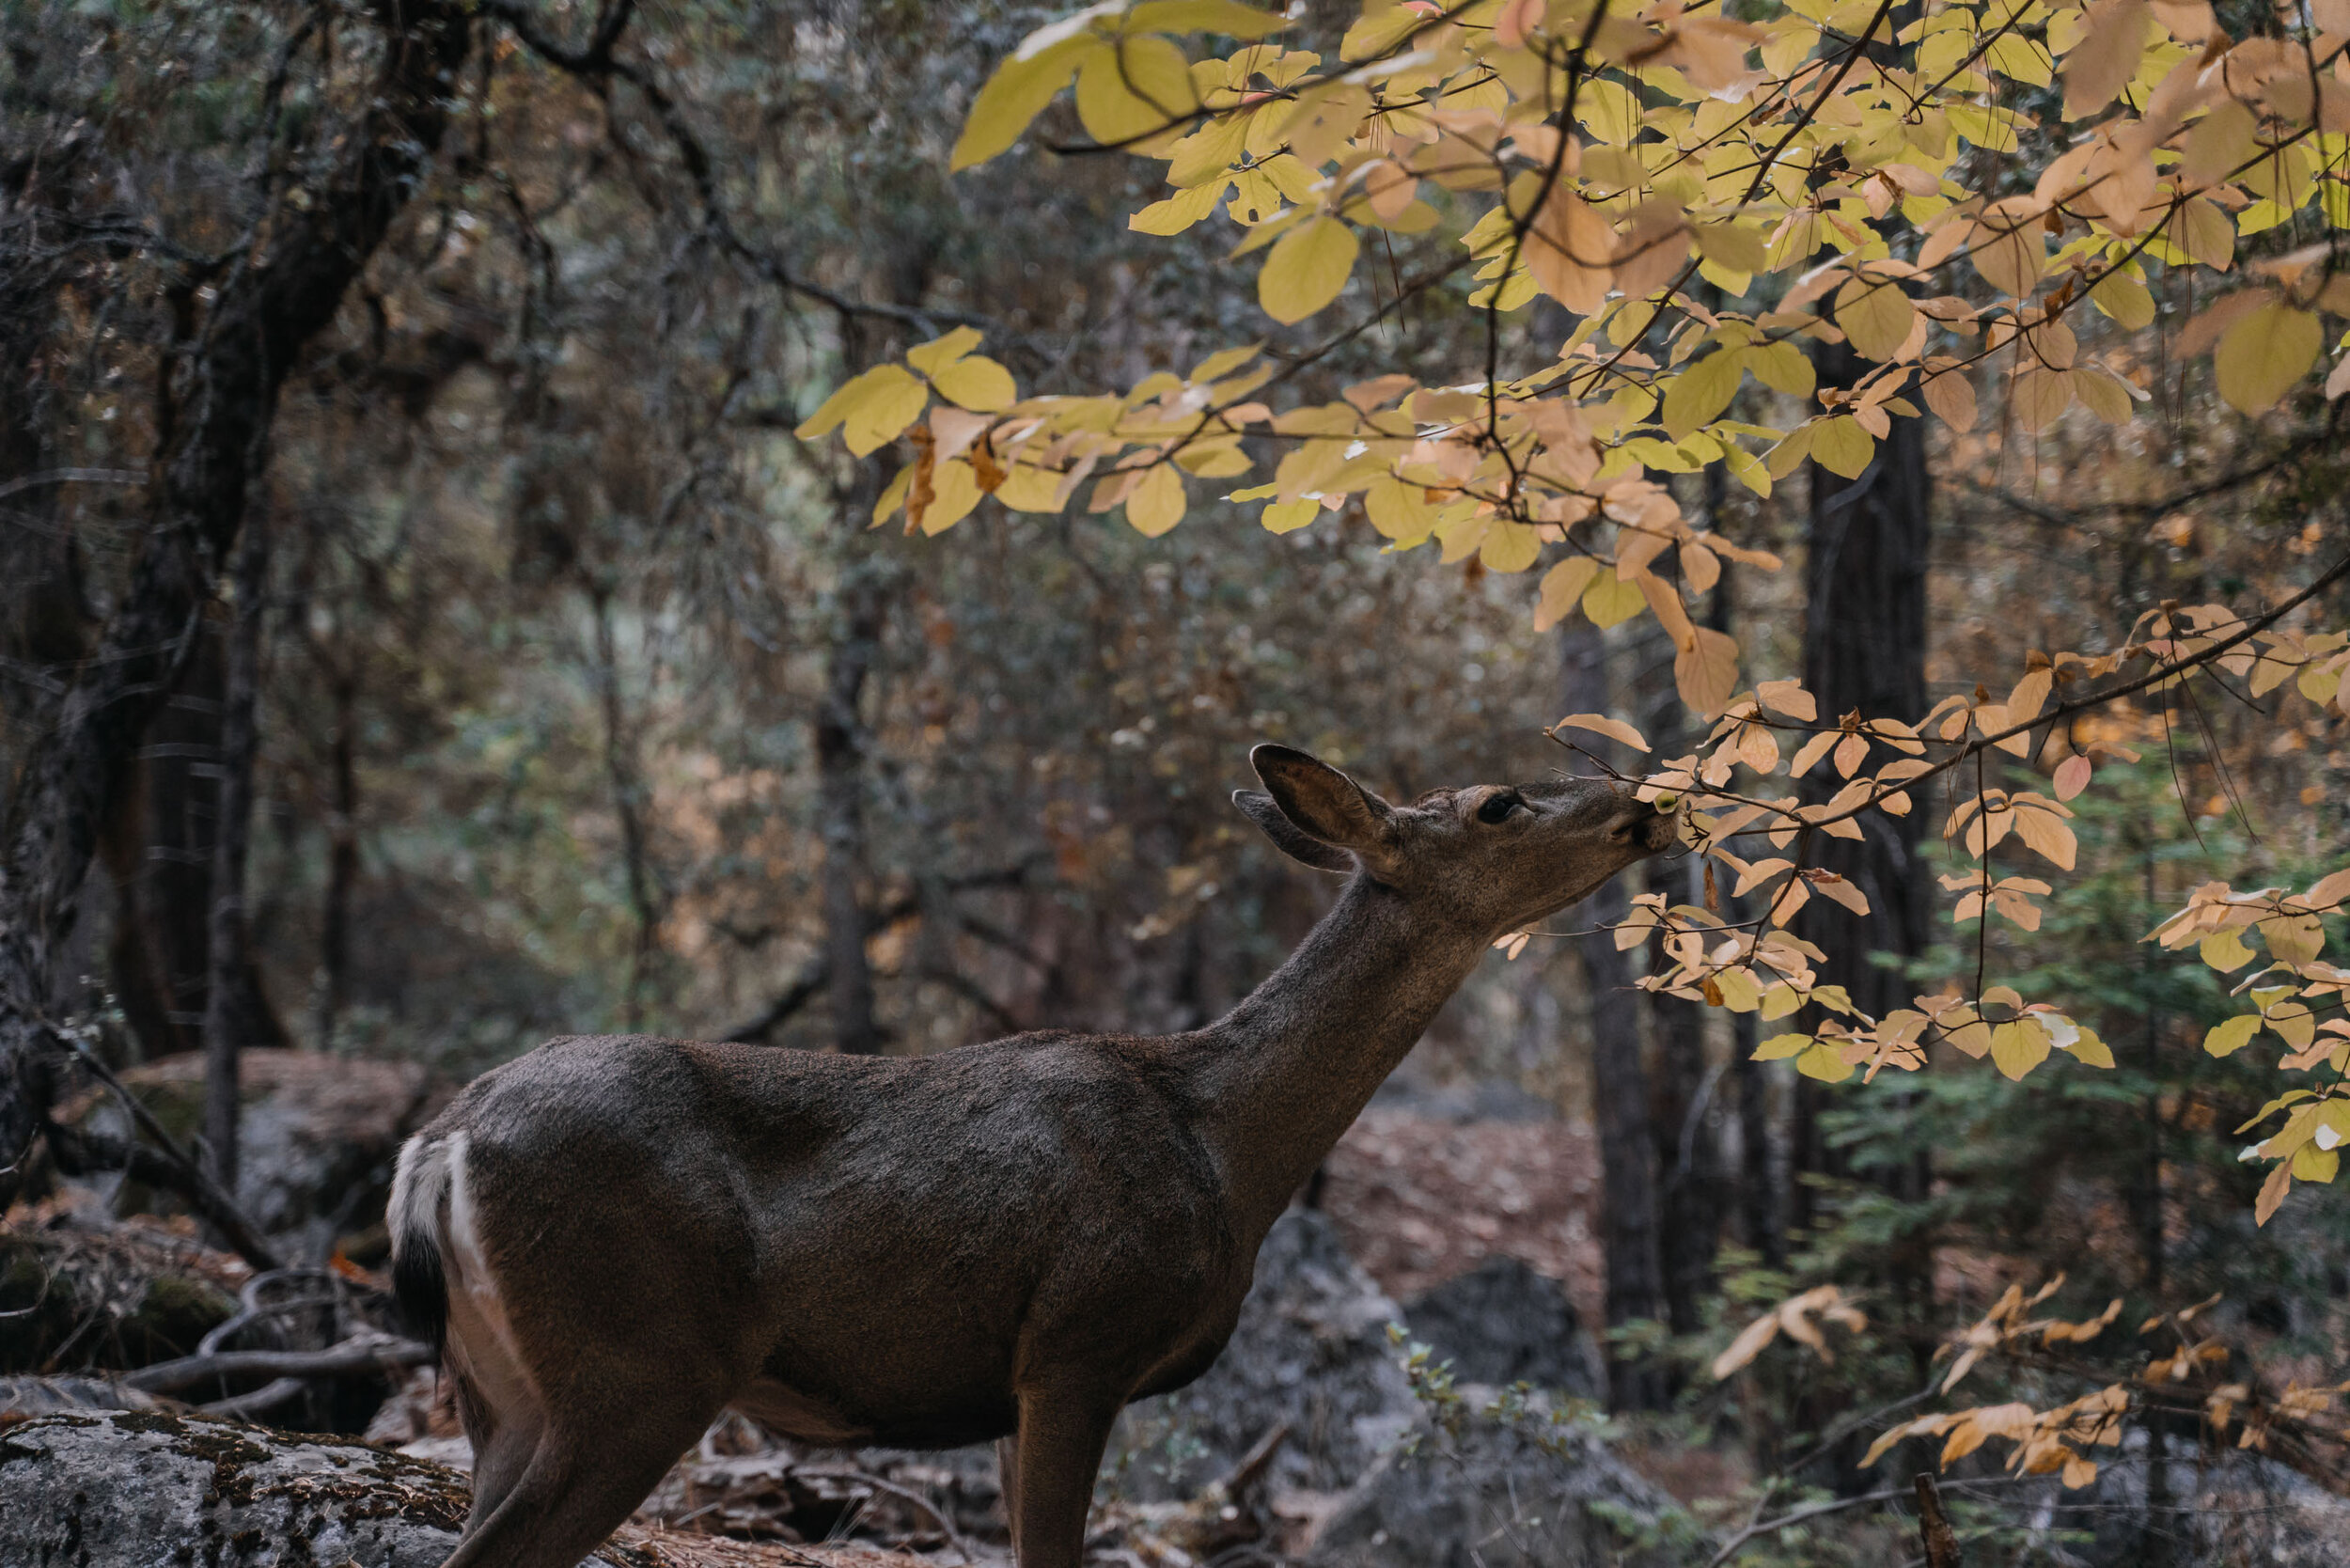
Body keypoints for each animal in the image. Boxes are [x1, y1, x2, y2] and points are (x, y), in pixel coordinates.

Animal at [385, 747, 1673, 1568]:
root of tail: (440, 1146)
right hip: (639, 1362)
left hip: (501, 1388)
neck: (1223, 1145)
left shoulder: (1013, 1388)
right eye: (1498, 801)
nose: (1639, 797)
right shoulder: (1079, 1337)